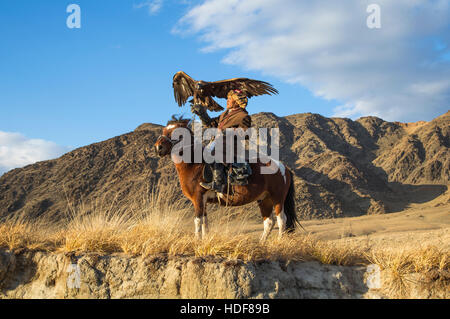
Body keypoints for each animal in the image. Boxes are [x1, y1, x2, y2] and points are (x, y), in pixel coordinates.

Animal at [154, 117, 298, 242]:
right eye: (164, 130)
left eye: (177, 132)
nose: (158, 147)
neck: (194, 165)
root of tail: (283, 167)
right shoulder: (203, 200)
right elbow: (205, 222)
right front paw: (204, 240)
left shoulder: (198, 198)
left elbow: (198, 221)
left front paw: (197, 240)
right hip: (264, 199)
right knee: (269, 222)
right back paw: (261, 243)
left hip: (278, 198)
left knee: (282, 220)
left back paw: (278, 241)